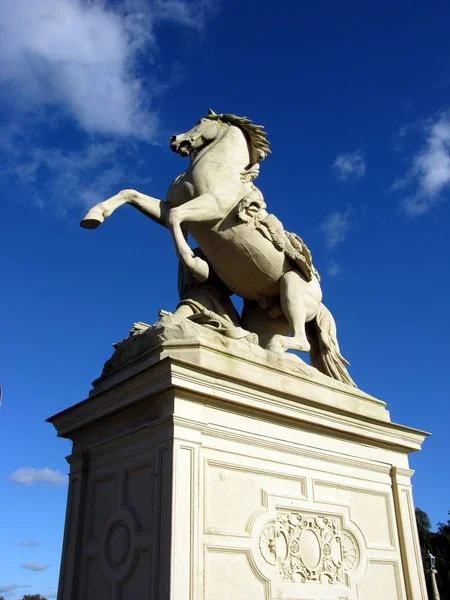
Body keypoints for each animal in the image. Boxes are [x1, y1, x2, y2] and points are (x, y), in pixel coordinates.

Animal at [81, 110, 356, 386]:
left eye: (201, 122)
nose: (174, 139)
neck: (219, 167)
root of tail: (320, 303)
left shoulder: (211, 207)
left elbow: (175, 219)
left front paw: (197, 266)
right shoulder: (168, 206)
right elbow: (133, 195)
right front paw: (94, 216)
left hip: (293, 289)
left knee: (300, 341)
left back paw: (273, 348)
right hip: (263, 316)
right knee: (260, 337)